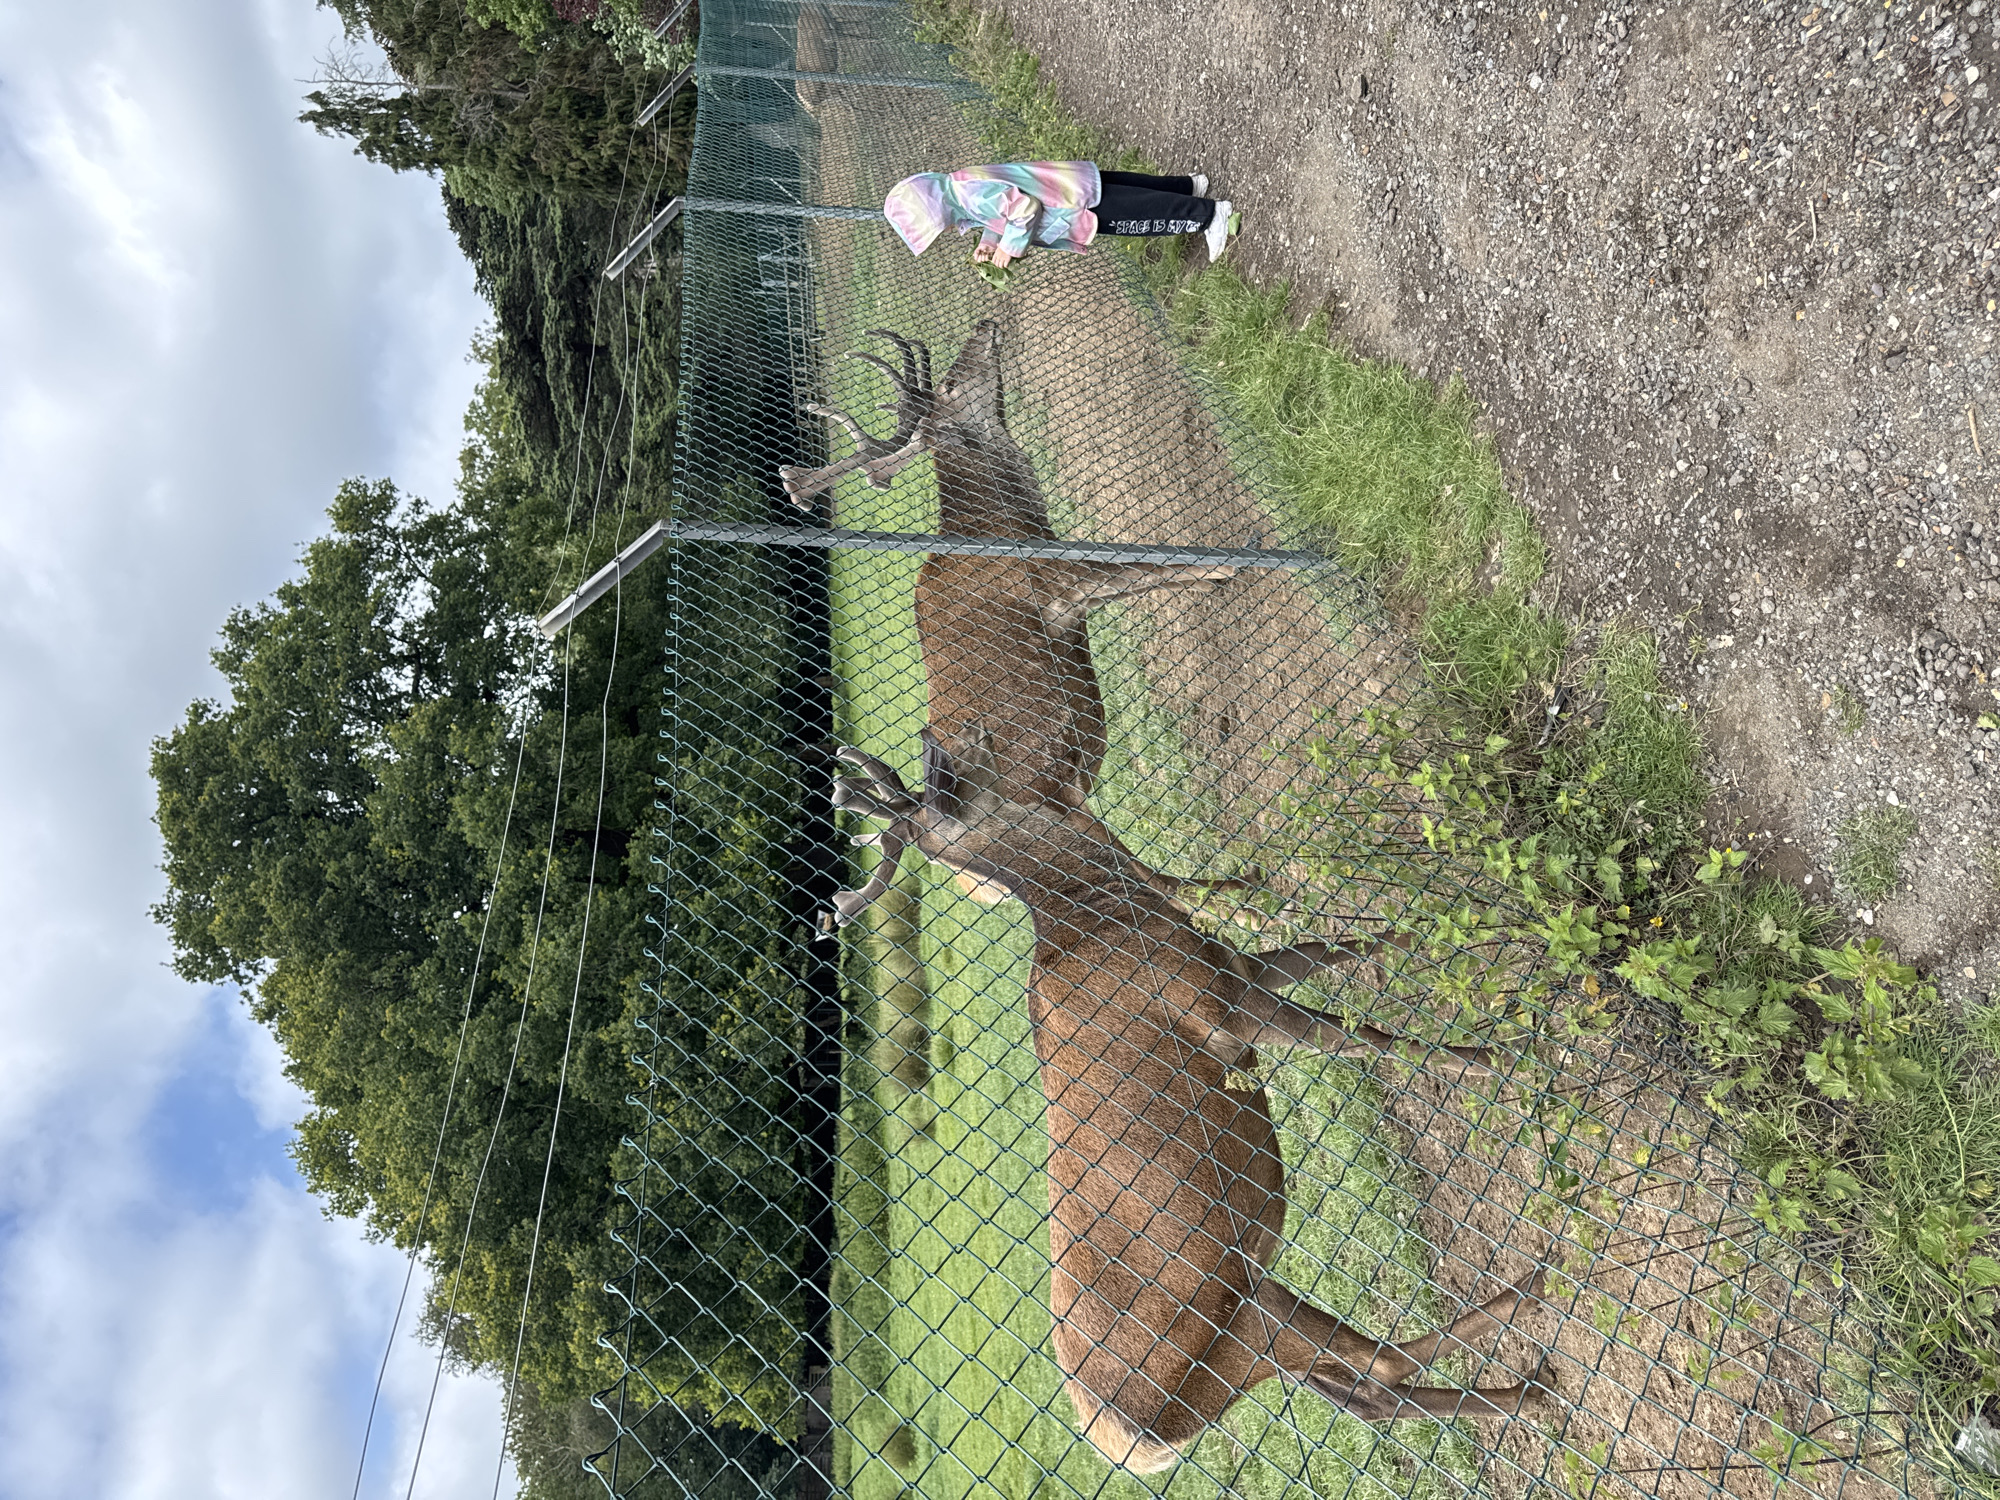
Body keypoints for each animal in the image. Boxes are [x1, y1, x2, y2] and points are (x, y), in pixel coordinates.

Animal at [783, 321, 1252, 928]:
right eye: (952, 385)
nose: (985, 325)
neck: (1012, 525)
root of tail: (925, 837)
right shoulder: (1056, 583)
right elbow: (1146, 567)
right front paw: (1228, 566)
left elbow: (1146, 578)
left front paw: (1211, 581)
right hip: (1047, 820)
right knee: (1156, 884)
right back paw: (1245, 904)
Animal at [829, 733, 1558, 1473]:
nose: (938, 746)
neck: (1102, 911)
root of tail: (1134, 1444)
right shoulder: (1224, 1007)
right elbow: (1361, 1038)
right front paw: (1490, 1059)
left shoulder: (1240, 969)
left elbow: (1341, 945)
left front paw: (1444, 924)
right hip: (1236, 1324)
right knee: (1377, 1365)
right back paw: (1532, 1307)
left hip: (1247, 1326)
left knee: (1367, 1393)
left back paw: (1529, 1389)